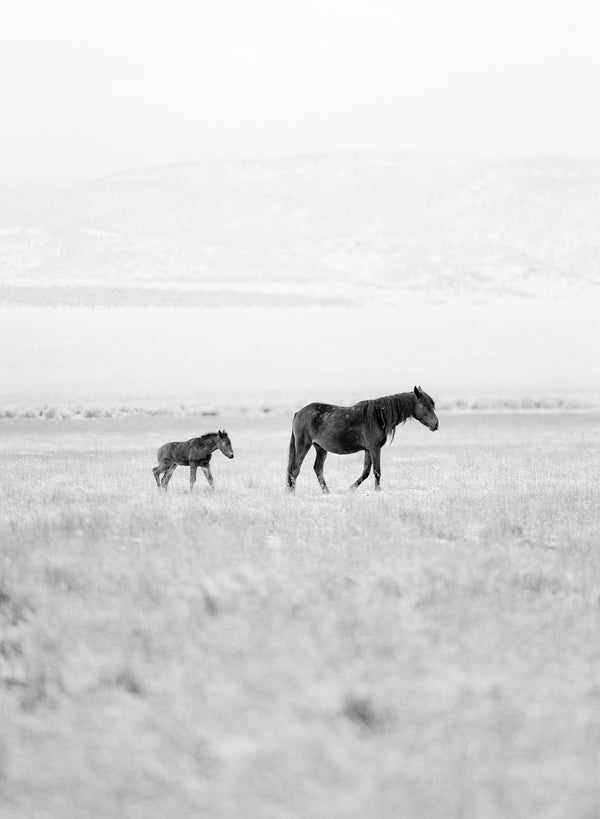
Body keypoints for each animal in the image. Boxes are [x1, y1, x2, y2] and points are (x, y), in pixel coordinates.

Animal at [286, 390, 436, 496]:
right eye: (424, 405)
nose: (436, 424)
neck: (378, 416)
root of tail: (299, 412)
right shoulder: (374, 448)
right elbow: (377, 471)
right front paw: (378, 490)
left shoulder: (368, 449)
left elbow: (366, 472)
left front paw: (350, 489)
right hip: (303, 445)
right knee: (295, 469)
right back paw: (293, 493)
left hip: (321, 448)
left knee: (318, 469)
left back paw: (326, 492)